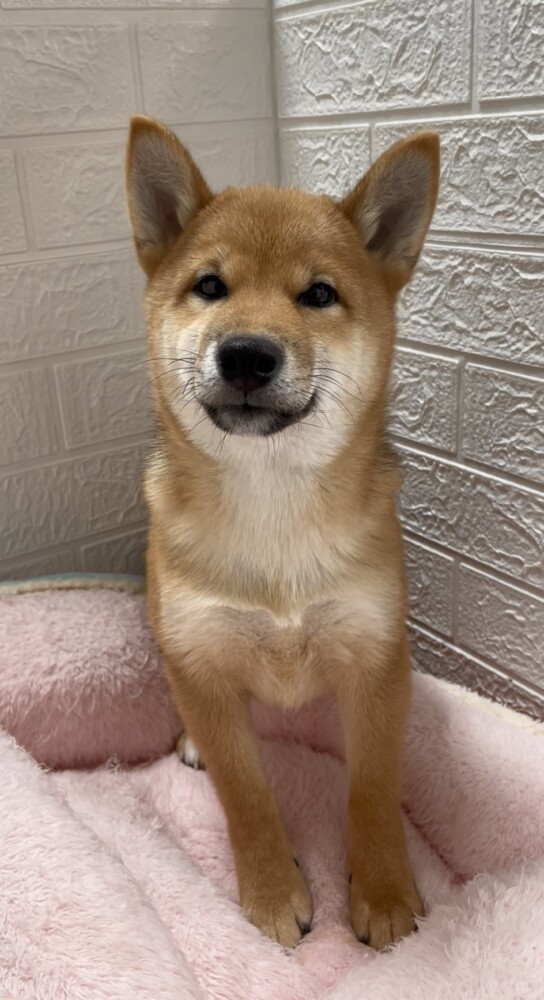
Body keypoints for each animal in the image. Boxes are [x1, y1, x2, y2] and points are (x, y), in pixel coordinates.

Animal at [125, 116, 439, 951]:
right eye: (210, 286)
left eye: (318, 294)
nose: (246, 354)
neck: (273, 505)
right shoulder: (200, 661)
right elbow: (248, 795)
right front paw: (271, 893)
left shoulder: (375, 660)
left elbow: (372, 790)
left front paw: (385, 893)